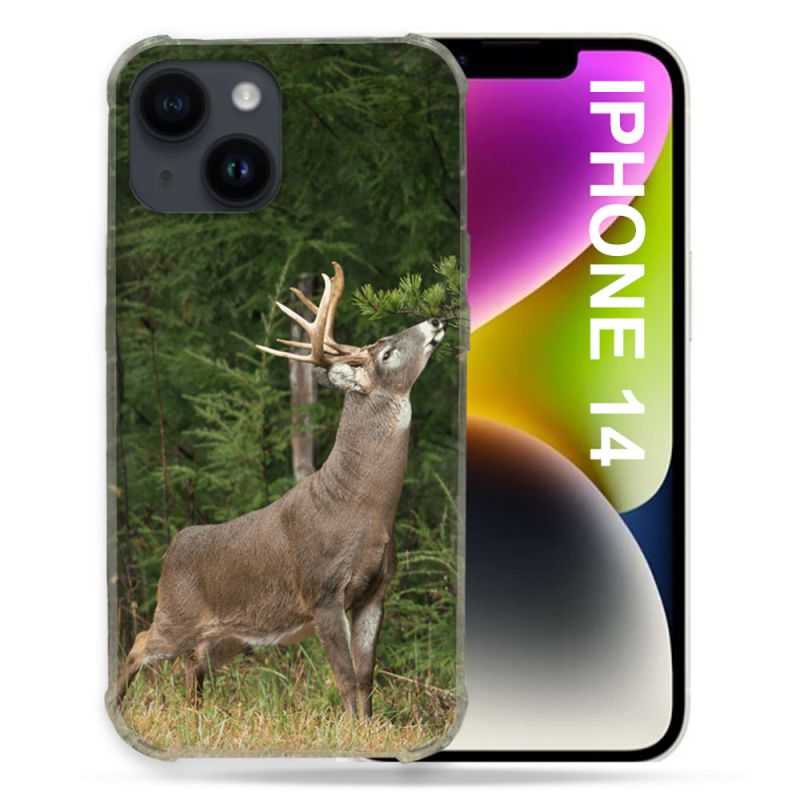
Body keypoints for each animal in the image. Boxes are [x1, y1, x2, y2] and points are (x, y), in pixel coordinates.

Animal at [115, 261, 446, 718]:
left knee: (192, 664)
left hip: (230, 636)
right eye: (386, 352)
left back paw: (195, 718)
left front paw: (371, 726)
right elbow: (345, 678)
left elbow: (366, 677)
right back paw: (117, 706)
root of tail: (173, 547)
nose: (436, 320)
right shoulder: (323, 591)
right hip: (175, 613)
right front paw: (353, 729)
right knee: (140, 643)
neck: (361, 507)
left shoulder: (376, 591)